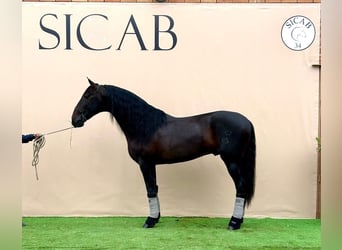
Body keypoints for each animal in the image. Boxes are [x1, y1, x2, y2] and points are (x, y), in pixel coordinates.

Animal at [72, 78, 255, 230]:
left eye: (87, 96)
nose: (74, 120)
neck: (145, 125)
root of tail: (246, 121)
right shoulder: (151, 164)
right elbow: (155, 188)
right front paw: (156, 218)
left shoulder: (145, 163)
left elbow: (150, 189)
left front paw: (149, 221)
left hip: (231, 161)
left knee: (241, 187)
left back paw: (233, 223)